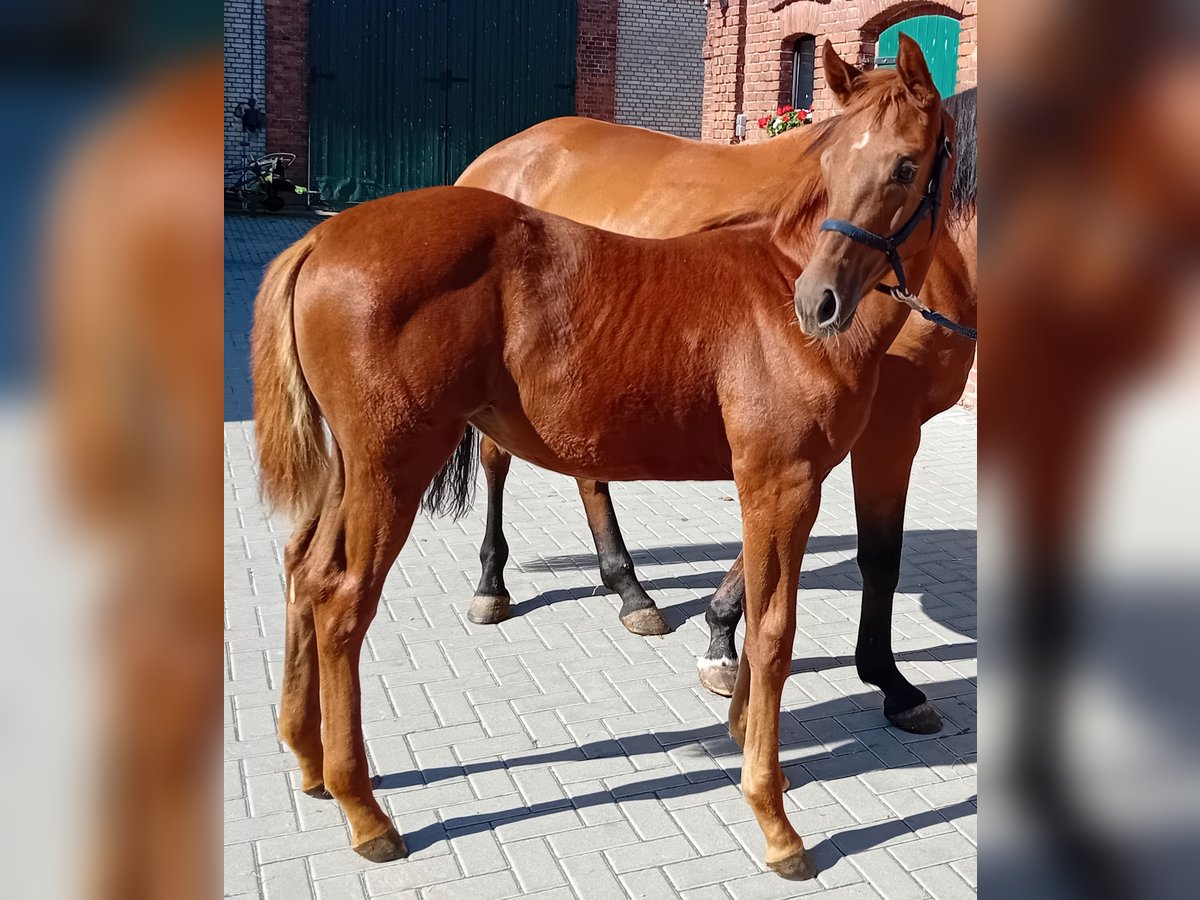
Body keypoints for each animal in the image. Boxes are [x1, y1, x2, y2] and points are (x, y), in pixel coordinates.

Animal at [250, 38, 945, 878]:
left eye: (905, 165)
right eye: (832, 157)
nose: (819, 304)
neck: (774, 284)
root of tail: (320, 238)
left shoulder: (787, 482)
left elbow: (757, 614)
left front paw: (746, 739)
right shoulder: (782, 481)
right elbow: (775, 634)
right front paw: (775, 822)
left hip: (349, 470)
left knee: (303, 569)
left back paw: (308, 761)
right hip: (391, 467)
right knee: (342, 602)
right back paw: (364, 810)